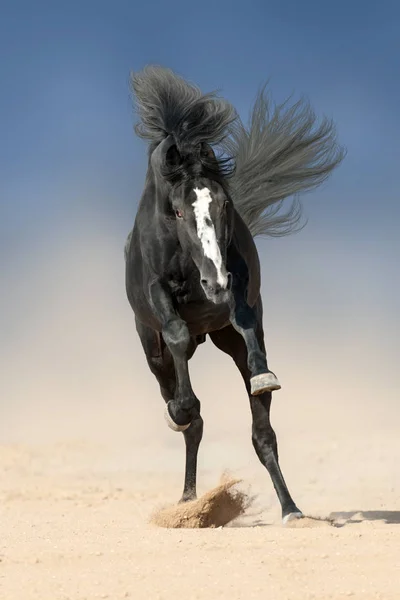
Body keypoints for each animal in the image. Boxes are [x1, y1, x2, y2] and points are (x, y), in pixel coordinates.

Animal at [125, 67, 344, 524]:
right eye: (177, 211)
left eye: (224, 204)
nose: (214, 284)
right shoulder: (156, 292)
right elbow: (176, 335)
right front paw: (180, 409)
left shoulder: (239, 278)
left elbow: (245, 320)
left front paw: (264, 375)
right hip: (152, 352)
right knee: (190, 418)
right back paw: (189, 499)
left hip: (224, 338)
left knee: (262, 434)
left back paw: (290, 509)